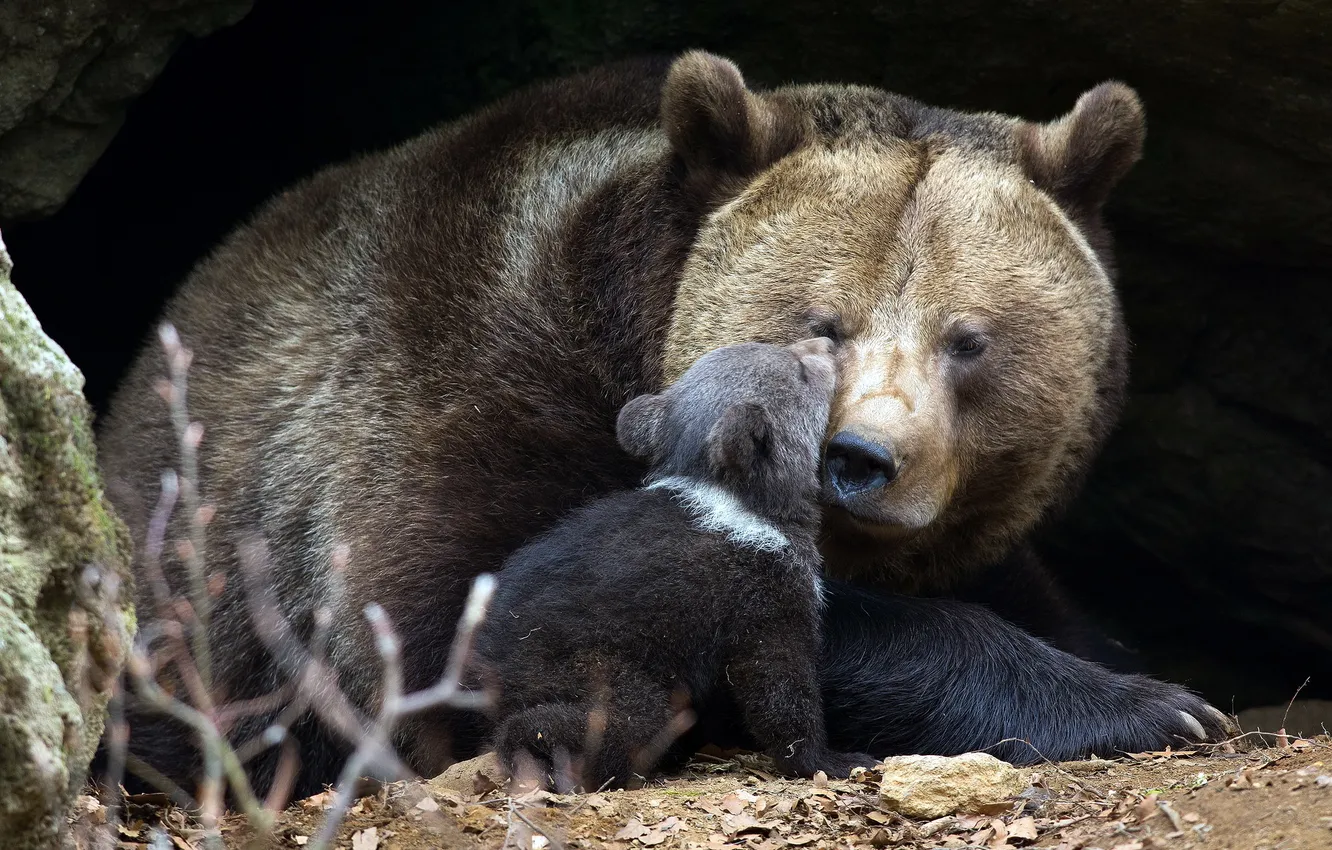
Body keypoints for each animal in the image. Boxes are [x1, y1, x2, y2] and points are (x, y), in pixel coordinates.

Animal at [472, 337, 875, 791]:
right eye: (801, 372)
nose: (825, 341)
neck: (745, 502)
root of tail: (489, 670)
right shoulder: (765, 595)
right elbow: (779, 685)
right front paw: (831, 759)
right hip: (589, 667)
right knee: (620, 719)